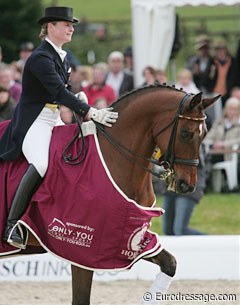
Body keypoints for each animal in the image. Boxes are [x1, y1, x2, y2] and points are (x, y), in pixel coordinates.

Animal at [0, 83, 218, 304]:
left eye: (205, 133)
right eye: (186, 133)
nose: (187, 185)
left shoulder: (129, 239)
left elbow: (170, 264)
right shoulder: (82, 249)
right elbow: (81, 299)